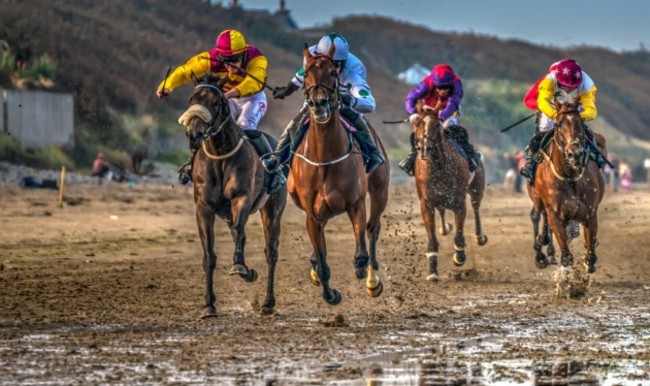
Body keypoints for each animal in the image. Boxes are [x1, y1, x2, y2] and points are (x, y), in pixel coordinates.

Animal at [178, 74, 288, 318]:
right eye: (191, 99)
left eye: (215, 102)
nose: (194, 135)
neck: (220, 154)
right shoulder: (204, 207)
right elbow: (209, 254)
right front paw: (209, 305)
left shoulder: (242, 198)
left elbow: (239, 230)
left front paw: (239, 267)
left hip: (272, 210)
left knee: (271, 252)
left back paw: (267, 302)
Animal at [288, 44, 390, 304]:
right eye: (306, 74)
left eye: (332, 73)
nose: (319, 104)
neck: (325, 158)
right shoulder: (311, 213)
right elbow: (322, 260)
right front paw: (329, 293)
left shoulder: (356, 204)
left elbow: (362, 253)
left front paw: (365, 274)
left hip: (380, 191)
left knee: (372, 229)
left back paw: (372, 280)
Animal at [410, 105, 486, 280]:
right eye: (417, 123)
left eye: (437, 124)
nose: (425, 149)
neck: (438, 166)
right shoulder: (426, 203)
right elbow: (432, 236)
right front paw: (432, 270)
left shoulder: (459, 202)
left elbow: (459, 233)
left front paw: (459, 256)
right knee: (442, 211)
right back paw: (444, 228)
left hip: (476, 188)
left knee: (476, 208)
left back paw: (479, 237)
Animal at [528, 101, 604, 272]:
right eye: (558, 124)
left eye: (581, 122)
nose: (574, 154)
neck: (570, 177)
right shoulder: (555, 212)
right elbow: (566, 256)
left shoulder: (590, 212)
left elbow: (590, 256)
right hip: (537, 198)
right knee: (536, 215)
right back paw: (541, 254)